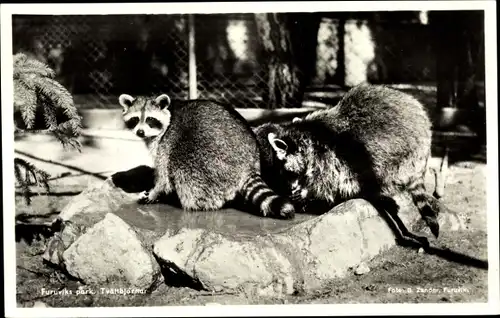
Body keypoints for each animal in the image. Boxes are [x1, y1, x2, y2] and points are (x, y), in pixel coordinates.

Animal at [118, 92, 294, 219]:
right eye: (135, 119)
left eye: (150, 119)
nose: (140, 132)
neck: (169, 114)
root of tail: (248, 163)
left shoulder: (166, 142)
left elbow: (163, 177)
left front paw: (154, 192)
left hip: (210, 159)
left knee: (183, 170)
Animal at [254, 84, 442, 238]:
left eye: (286, 172)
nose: (292, 188)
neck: (307, 134)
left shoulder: (330, 158)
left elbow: (330, 183)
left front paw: (307, 195)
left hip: (396, 156)